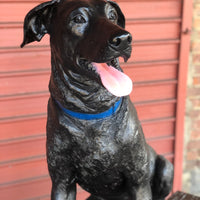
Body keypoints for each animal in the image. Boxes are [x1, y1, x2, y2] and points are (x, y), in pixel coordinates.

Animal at [20, 0, 173, 199]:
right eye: (78, 19)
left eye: (112, 15)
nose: (123, 39)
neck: (92, 110)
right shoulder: (62, 182)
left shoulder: (139, 183)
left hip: (166, 167)